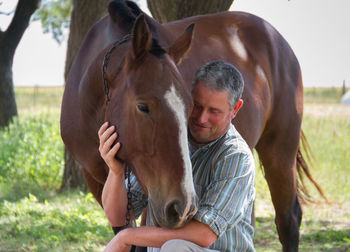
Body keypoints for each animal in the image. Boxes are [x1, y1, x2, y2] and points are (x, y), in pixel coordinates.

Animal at [59, 0, 326, 251]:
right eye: (143, 107)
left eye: (190, 106)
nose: (184, 207)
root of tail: (275, 38)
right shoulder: (98, 181)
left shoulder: (155, 194)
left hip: (279, 153)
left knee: (288, 220)